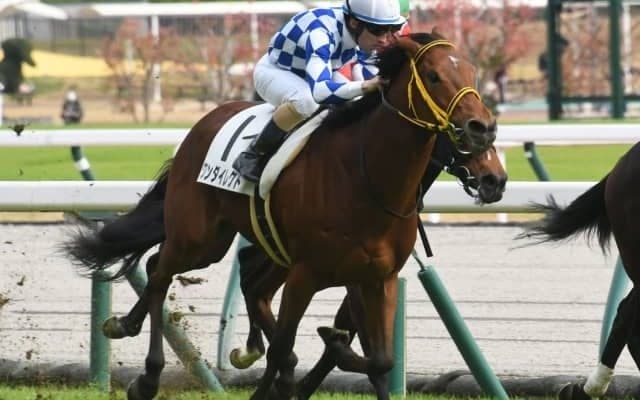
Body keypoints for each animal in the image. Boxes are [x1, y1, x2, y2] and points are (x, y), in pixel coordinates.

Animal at [231, 137, 507, 400]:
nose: (496, 180)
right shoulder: (347, 272)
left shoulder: (368, 274)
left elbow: (355, 334)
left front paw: (307, 379)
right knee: (254, 286)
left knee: (255, 286)